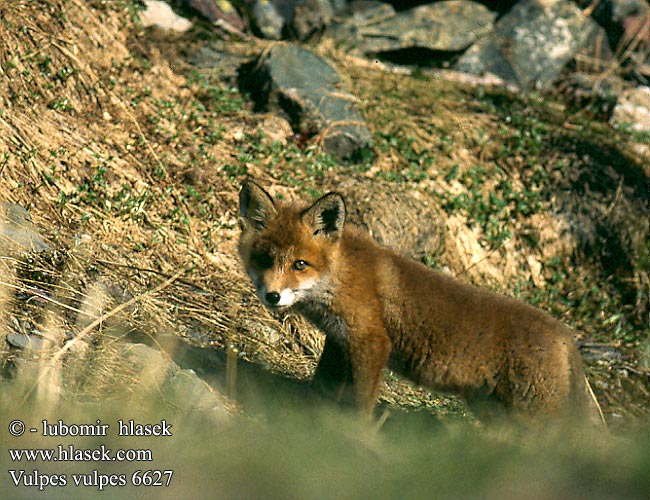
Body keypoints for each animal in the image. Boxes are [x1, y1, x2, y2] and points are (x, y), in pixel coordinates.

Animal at [237, 182, 604, 424]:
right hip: (495, 412)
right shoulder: (340, 339)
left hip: (534, 417)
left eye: (300, 264)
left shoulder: (371, 341)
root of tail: (566, 336)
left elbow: (360, 403)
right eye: (264, 259)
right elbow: (324, 386)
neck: (340, 275)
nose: (272, 296)